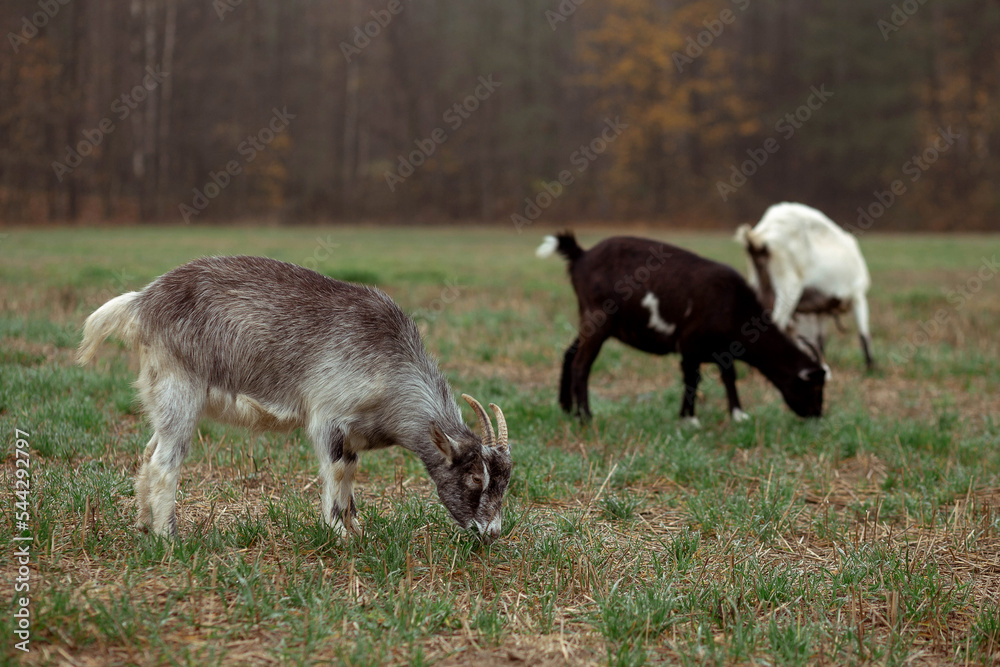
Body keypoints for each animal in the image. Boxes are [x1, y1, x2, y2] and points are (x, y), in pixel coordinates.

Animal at [77, 256, 512, 540]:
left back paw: (142, 524)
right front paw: (341, 536)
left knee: (149, 452)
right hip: (180, 390)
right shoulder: (328, 419)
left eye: (505, 484)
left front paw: (357, 528)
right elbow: (336, 473)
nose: (491, 532)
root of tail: (142, 302)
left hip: (161, 396)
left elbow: (350, 477)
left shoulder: (351, 436)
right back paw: (168, 537)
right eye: (474, 478)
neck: (391, 366)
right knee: (166, 462)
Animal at [537, 232, 826, 425]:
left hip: (591, 319)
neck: (736, 307)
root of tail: (581, 256)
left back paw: (567, 408)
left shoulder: (722, 350)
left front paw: (738, 414)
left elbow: (729, 376)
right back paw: (586, 416)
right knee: (581, 364)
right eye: (814, 387)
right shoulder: (690, 342)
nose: (817, 415)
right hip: (598, 316)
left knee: (569, 353)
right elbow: (692, 378)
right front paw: (689, 418)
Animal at [735, 202, 874, 369]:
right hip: (788, 288)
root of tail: (760, 236)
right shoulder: (858, 295)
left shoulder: (820, 310)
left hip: (757, 286)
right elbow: (864, 333)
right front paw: (871, 368)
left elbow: (820, 340)